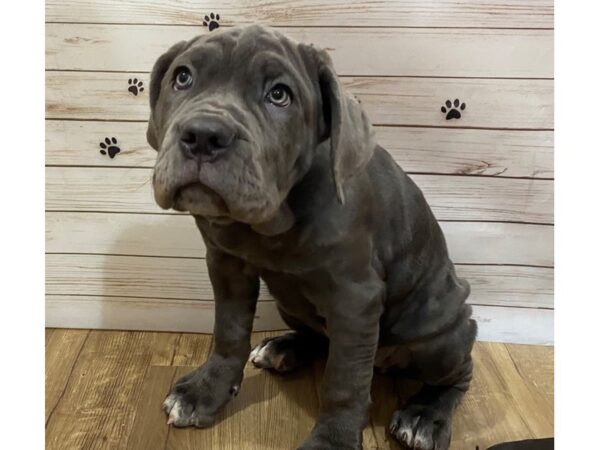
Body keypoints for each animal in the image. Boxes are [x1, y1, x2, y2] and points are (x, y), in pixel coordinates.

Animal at [148, 23, 476, 450]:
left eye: (279, 95)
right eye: (183, 77)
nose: (203, 135)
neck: (273, 219)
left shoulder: (354, 298)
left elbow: (344, 381)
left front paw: (333, 441)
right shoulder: (226, 265)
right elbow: (228, 332)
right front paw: (206, 391)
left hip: (437, 333)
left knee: (457, 373)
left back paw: (426, 416)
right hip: (293, 304)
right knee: (321, 336)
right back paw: (284, 347)